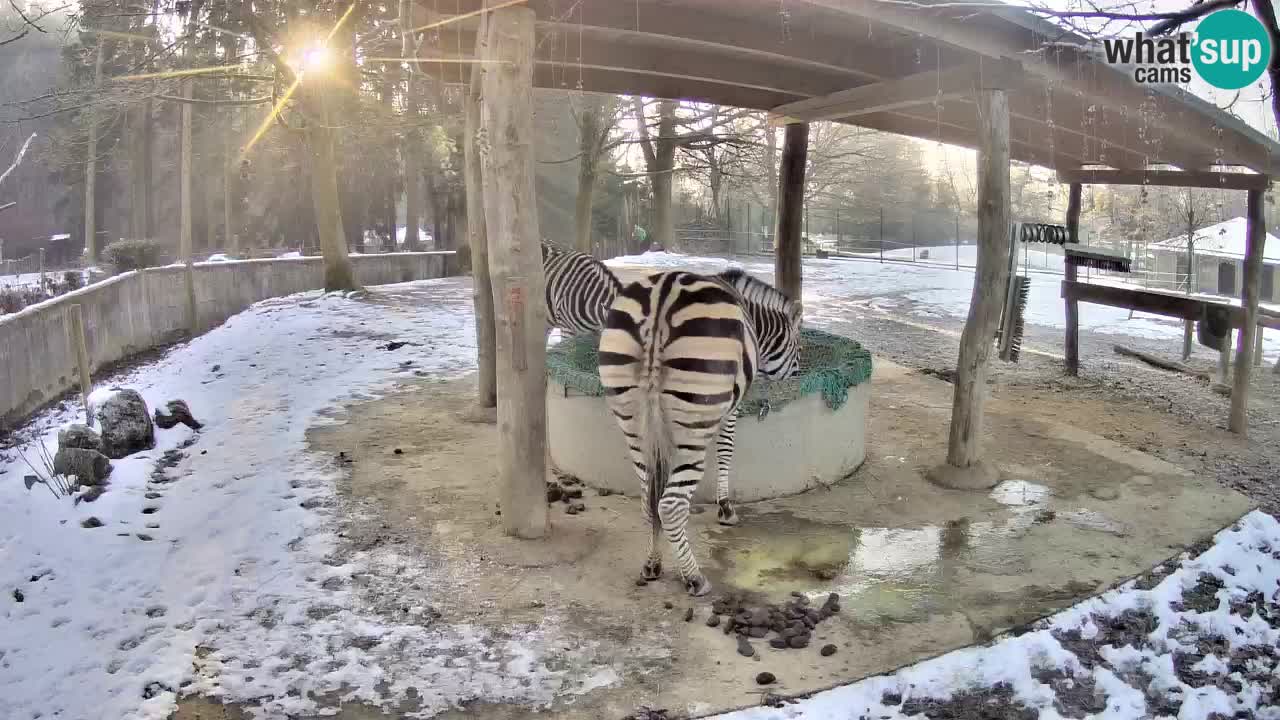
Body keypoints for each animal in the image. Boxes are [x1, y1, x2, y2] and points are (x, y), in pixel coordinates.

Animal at [596, 266, 798, 591]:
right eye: (797, 346)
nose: (798, 374)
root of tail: (661, 298)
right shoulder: (730, 408)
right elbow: (726, 450)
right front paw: (725, 508)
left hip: (632, 423)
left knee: (647, 499)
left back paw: (652, 565)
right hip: (693, 425)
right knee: (670, 505)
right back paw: (694, 577)